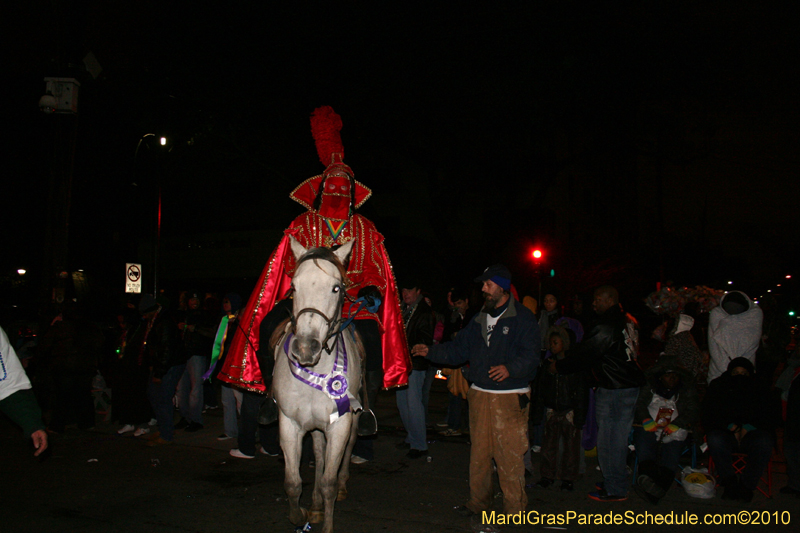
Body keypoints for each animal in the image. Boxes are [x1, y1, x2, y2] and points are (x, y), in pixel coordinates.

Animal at [274, 237, 364, 532]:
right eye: (293, 287)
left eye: (336, 288)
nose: (305, 348)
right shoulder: (290, 423)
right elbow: (292, 482)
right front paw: (300, 514)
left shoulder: (340, 424)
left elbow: (329, 483)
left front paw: (326, 523)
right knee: (319, 451)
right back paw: (313, 506)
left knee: (348, 447)